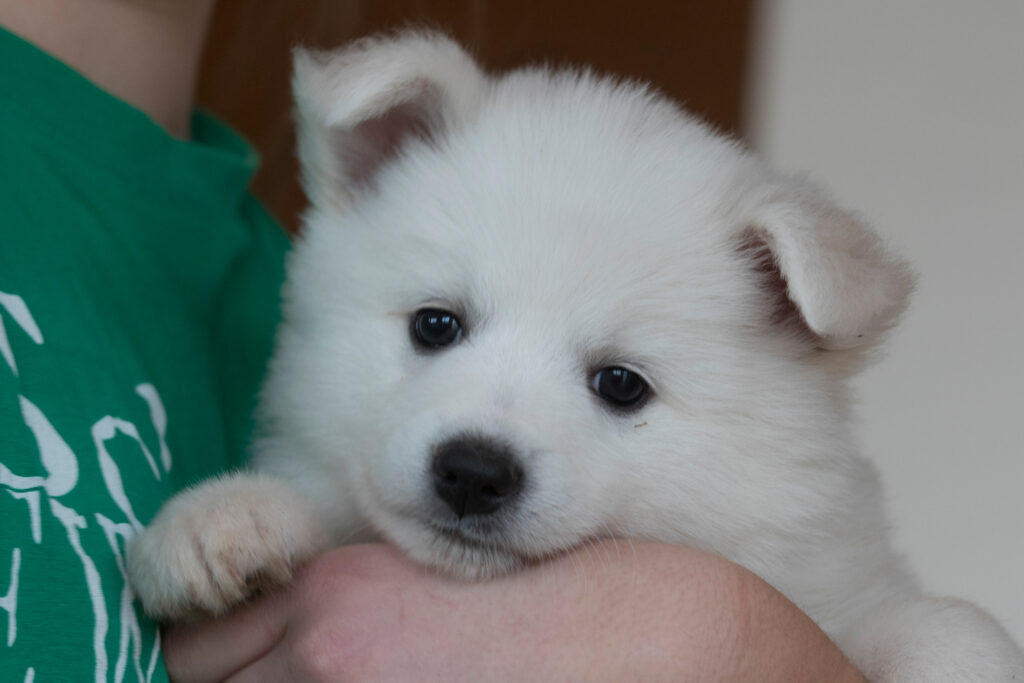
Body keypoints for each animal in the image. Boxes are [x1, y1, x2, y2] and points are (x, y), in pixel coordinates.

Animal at [126, 31, 1024, 680]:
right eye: (435, 325)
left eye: (621, 384)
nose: (473, 471)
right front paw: (226, 515)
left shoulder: (839, 584)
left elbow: (935, 623)